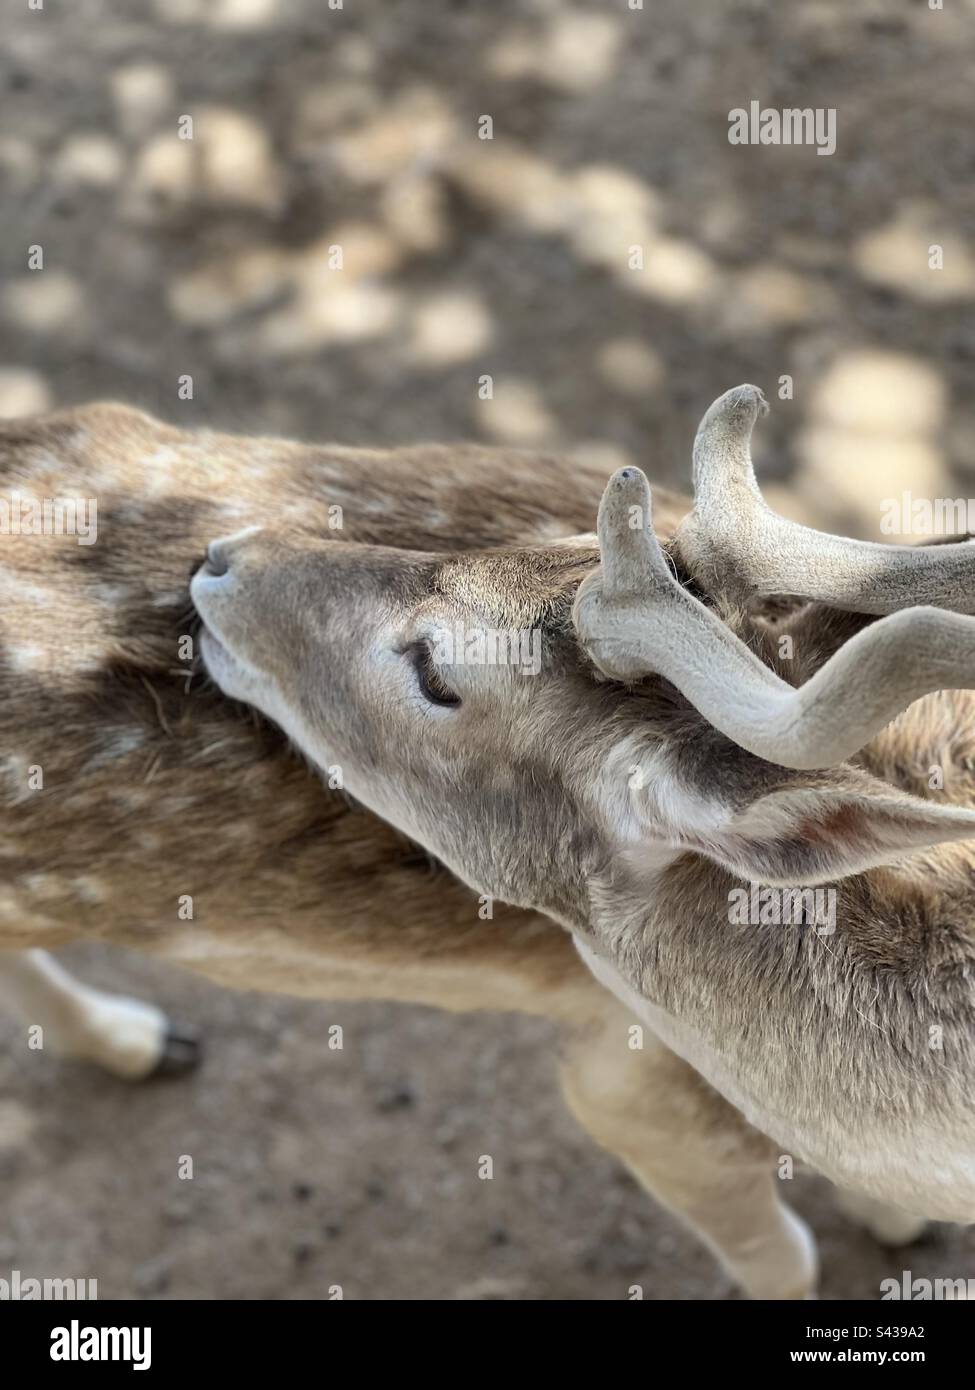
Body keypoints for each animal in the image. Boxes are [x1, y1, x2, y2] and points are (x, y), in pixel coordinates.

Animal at [1, 383, 973, 1301]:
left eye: (437, 671)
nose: (221, 560)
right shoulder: (636, 1087)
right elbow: (785, 1262)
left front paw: (889, 1225)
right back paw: (139, 1040)